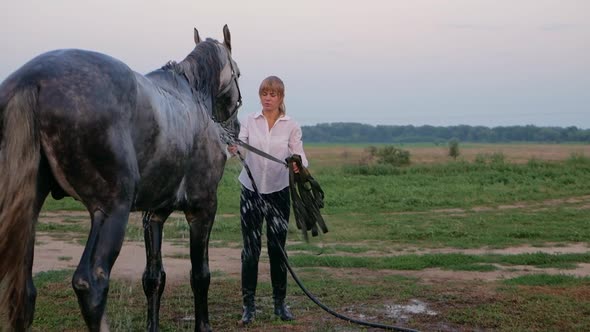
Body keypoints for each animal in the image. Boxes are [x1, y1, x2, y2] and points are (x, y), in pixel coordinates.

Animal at [0, 24, 243, 330]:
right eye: (238, 74)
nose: (236, 128)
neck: (193, 97)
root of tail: (31, 79)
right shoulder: (203, 208)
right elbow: (200, 275)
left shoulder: (154, 214)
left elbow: (153, 278)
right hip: (112, 209)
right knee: (90, 282)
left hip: (28, 210)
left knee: (23, 290)